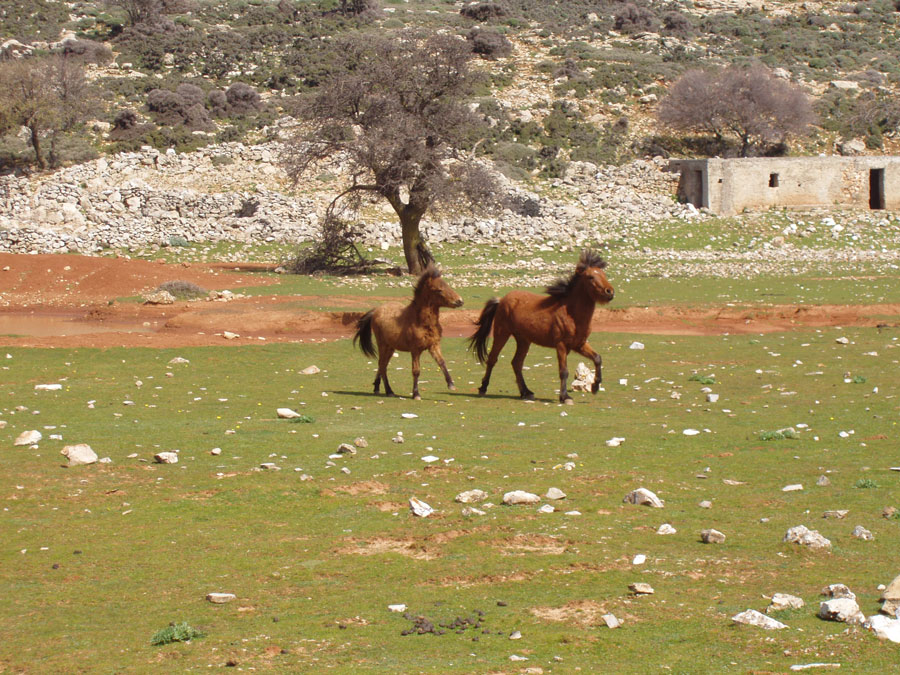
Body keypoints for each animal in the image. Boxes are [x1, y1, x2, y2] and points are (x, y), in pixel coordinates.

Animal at [352, 266, 464, 398]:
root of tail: (376, 311)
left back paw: (377, 387)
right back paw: (389, 391)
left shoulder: (434, 345)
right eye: (439, 290)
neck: (422, 322)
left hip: (390, 347)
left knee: (382, 365)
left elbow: (442, 362)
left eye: (447, 285)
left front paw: (451, 384)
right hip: (383, 345)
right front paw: (416, 394)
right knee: (382, 365)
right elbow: (416, 371)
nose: (460, 301)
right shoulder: (415, 350)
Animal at [472, 251, 612, 404]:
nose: (610, 292)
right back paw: (483, 388)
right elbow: (564, 371)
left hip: (523, 340)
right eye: (590, 277)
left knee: (517, 363)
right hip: (501, 333)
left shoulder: (579, 344)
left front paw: (595, 387)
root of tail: (501, 300)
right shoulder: (561, 345)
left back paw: (526, 392)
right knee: (493, 359)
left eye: (604, 274)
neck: (572, 314)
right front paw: (565, 397)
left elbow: (597, 358)